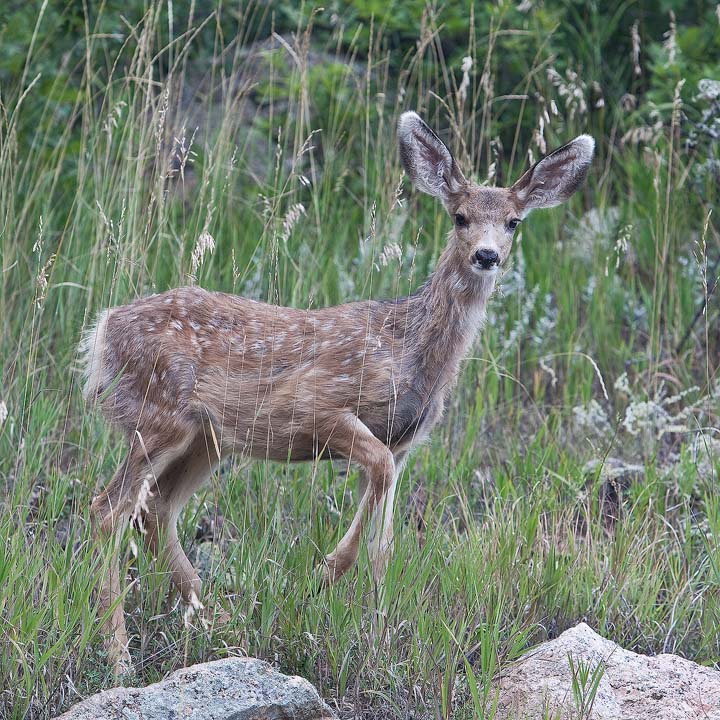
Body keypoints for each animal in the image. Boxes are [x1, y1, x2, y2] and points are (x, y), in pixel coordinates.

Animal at [80, 111, 594, 675]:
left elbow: (384, 537)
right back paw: (120, 656)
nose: (486, 255)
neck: (410, 348)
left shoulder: (403, 443)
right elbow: (374, 495)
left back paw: (217, 623)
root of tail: (103, 331)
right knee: (108, 511)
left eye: (513, 222)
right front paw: (326, 576)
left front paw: (376, 632)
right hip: (161, 414)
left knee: (155, 510)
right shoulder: (320, 404)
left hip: (205, 439)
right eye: (459, 217)